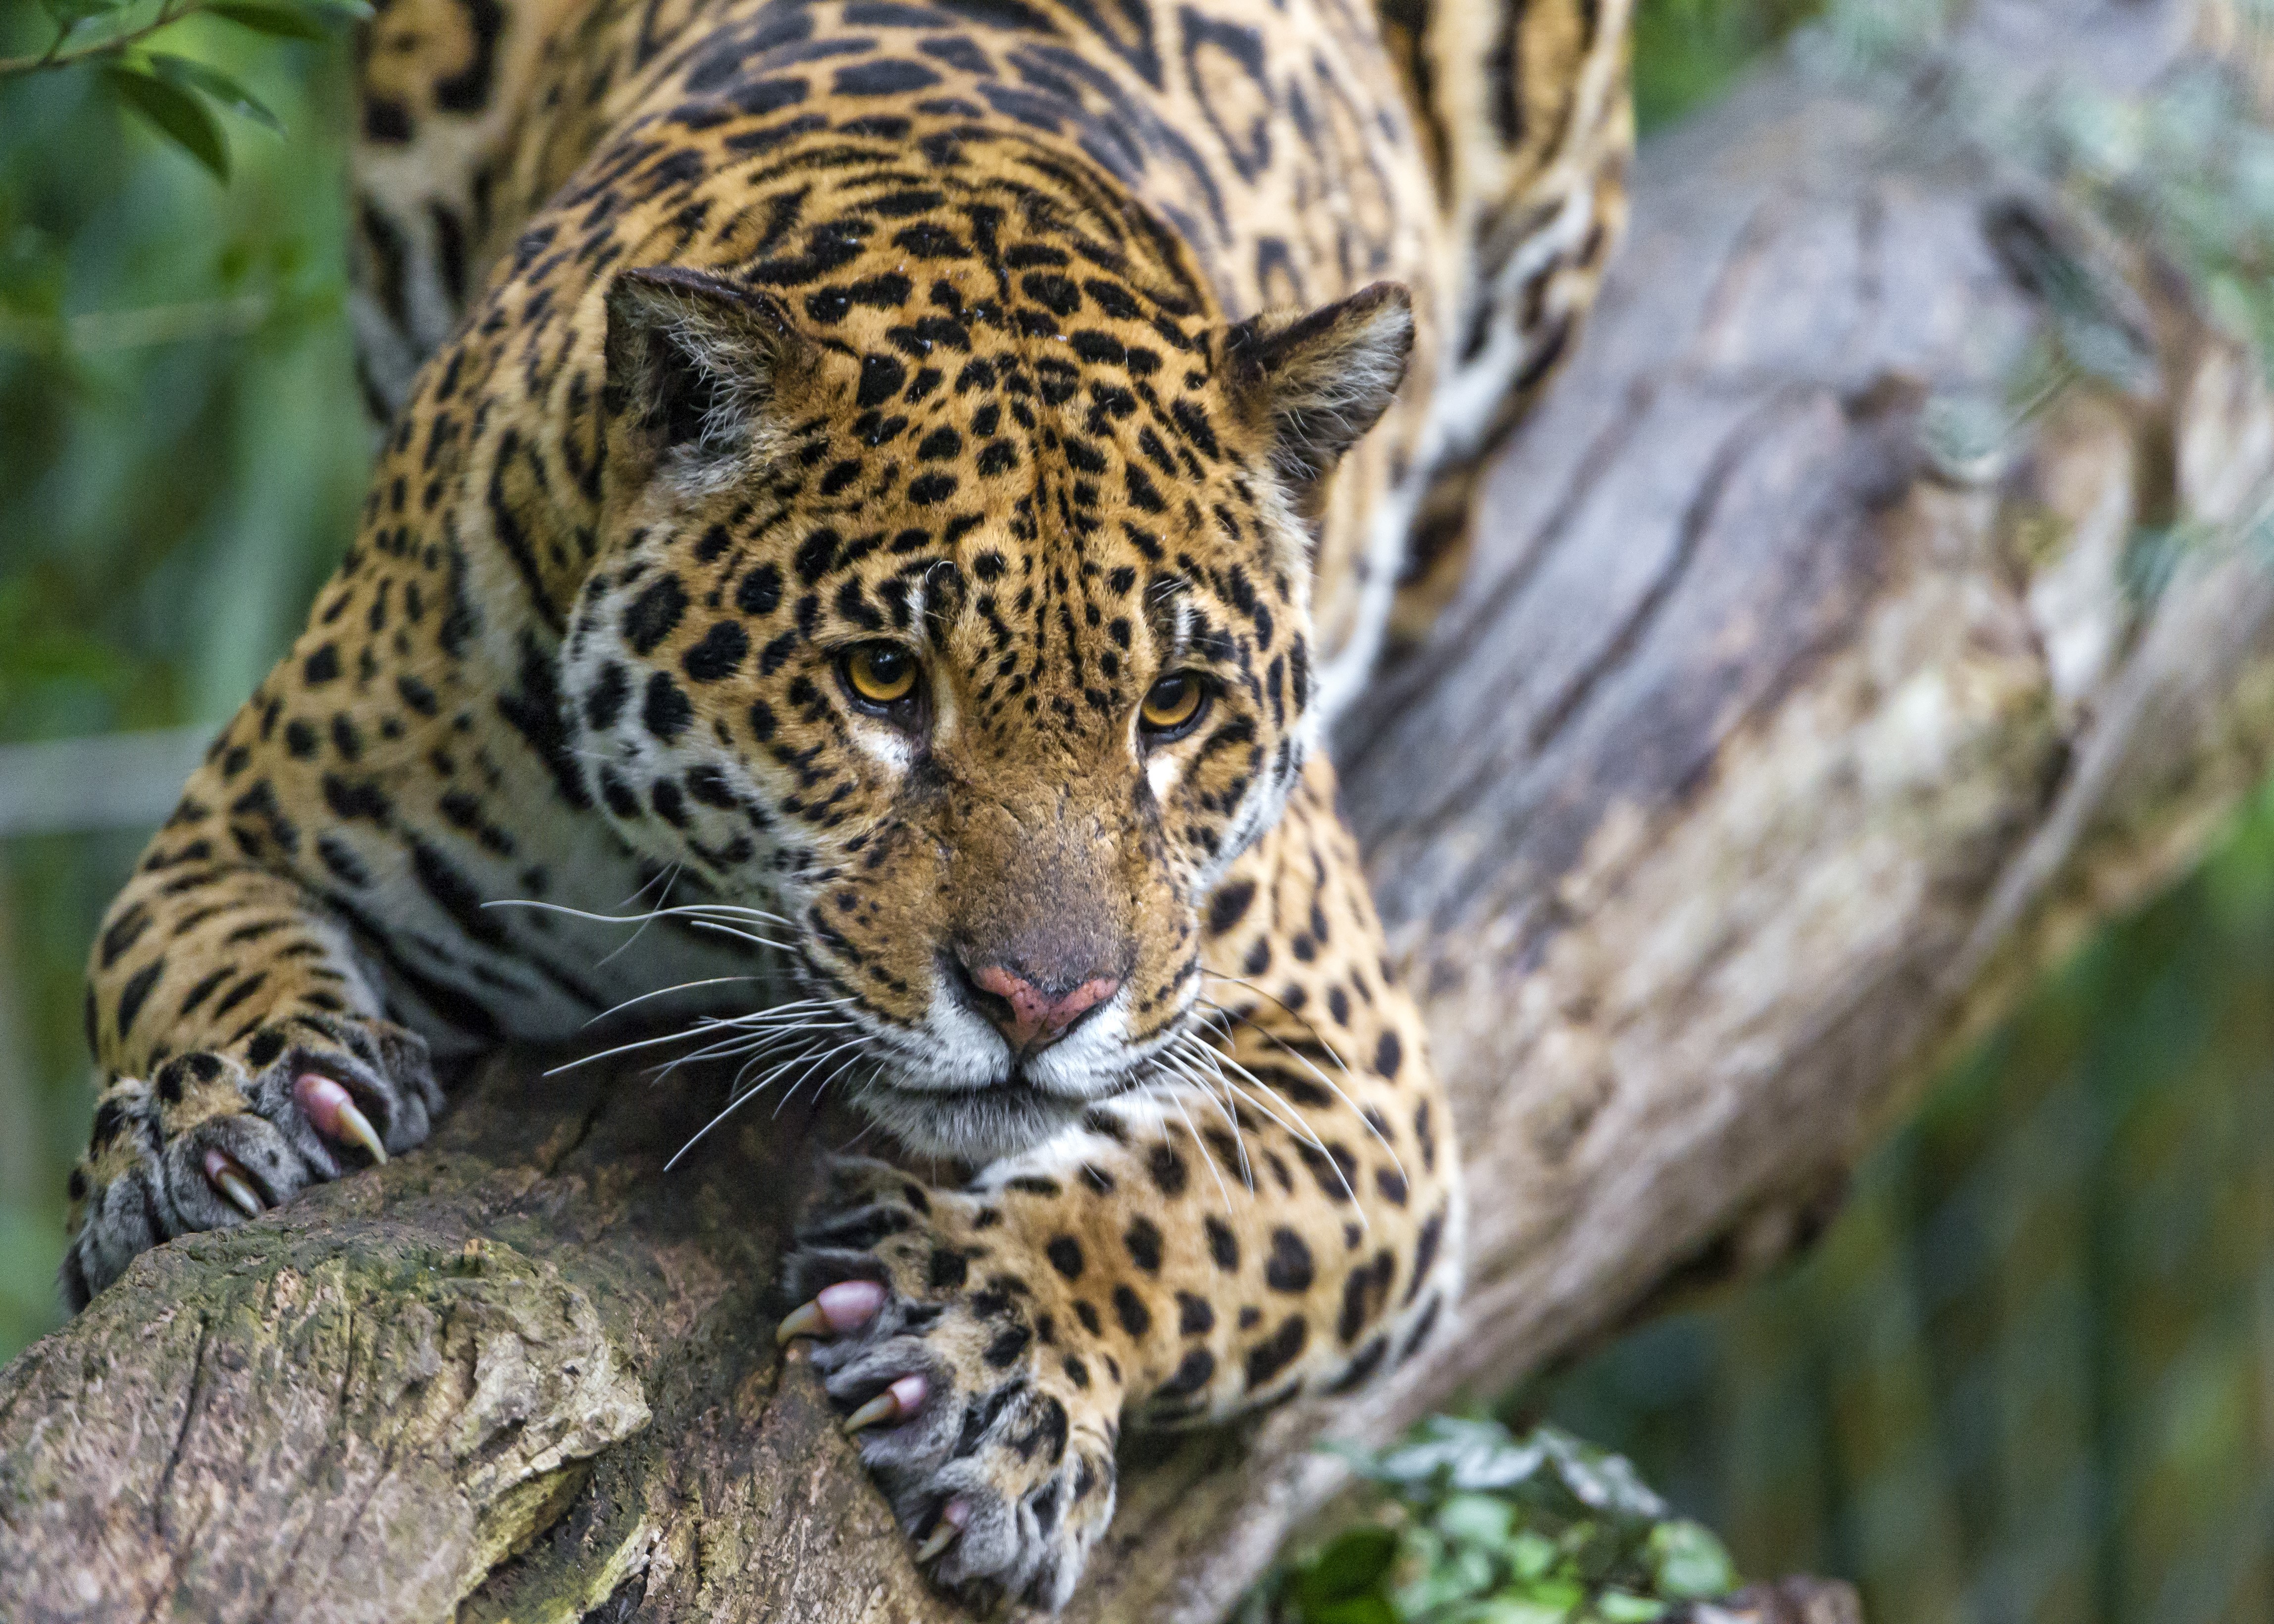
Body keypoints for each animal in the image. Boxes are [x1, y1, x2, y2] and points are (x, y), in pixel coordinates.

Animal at [62, 0, 1632, 1604]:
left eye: (1175, 706)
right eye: (883, 678)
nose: (1039, 1003)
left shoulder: (1361, 1081)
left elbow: (1202, 1216)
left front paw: (987, 1350)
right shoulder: (238, 827)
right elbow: (182, 958)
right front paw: (218, 1117)